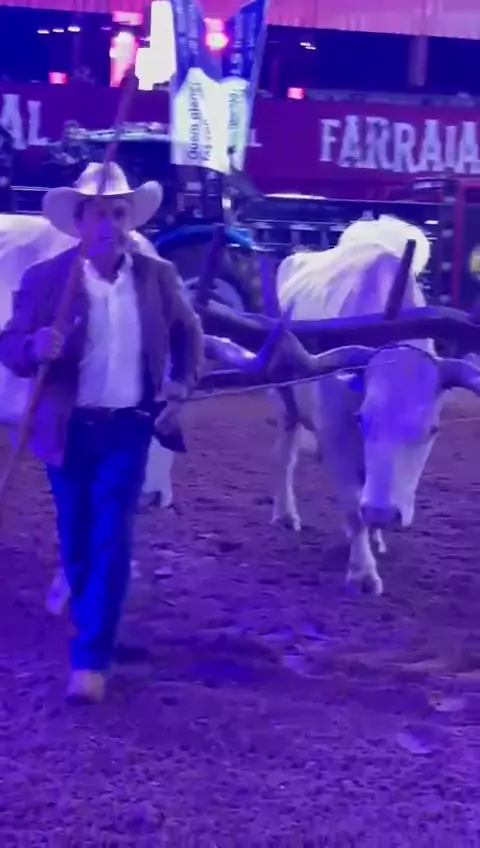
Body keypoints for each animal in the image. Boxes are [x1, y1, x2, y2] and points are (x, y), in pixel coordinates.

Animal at [210, 215, 480, 596]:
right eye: (363, 419)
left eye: (432, 429)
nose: (383, 513)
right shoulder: (335, 434)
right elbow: (352, 504)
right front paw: (362, 572)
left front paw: (374, 537)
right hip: (285, 402)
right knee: (285, 455)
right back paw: (286, 514)